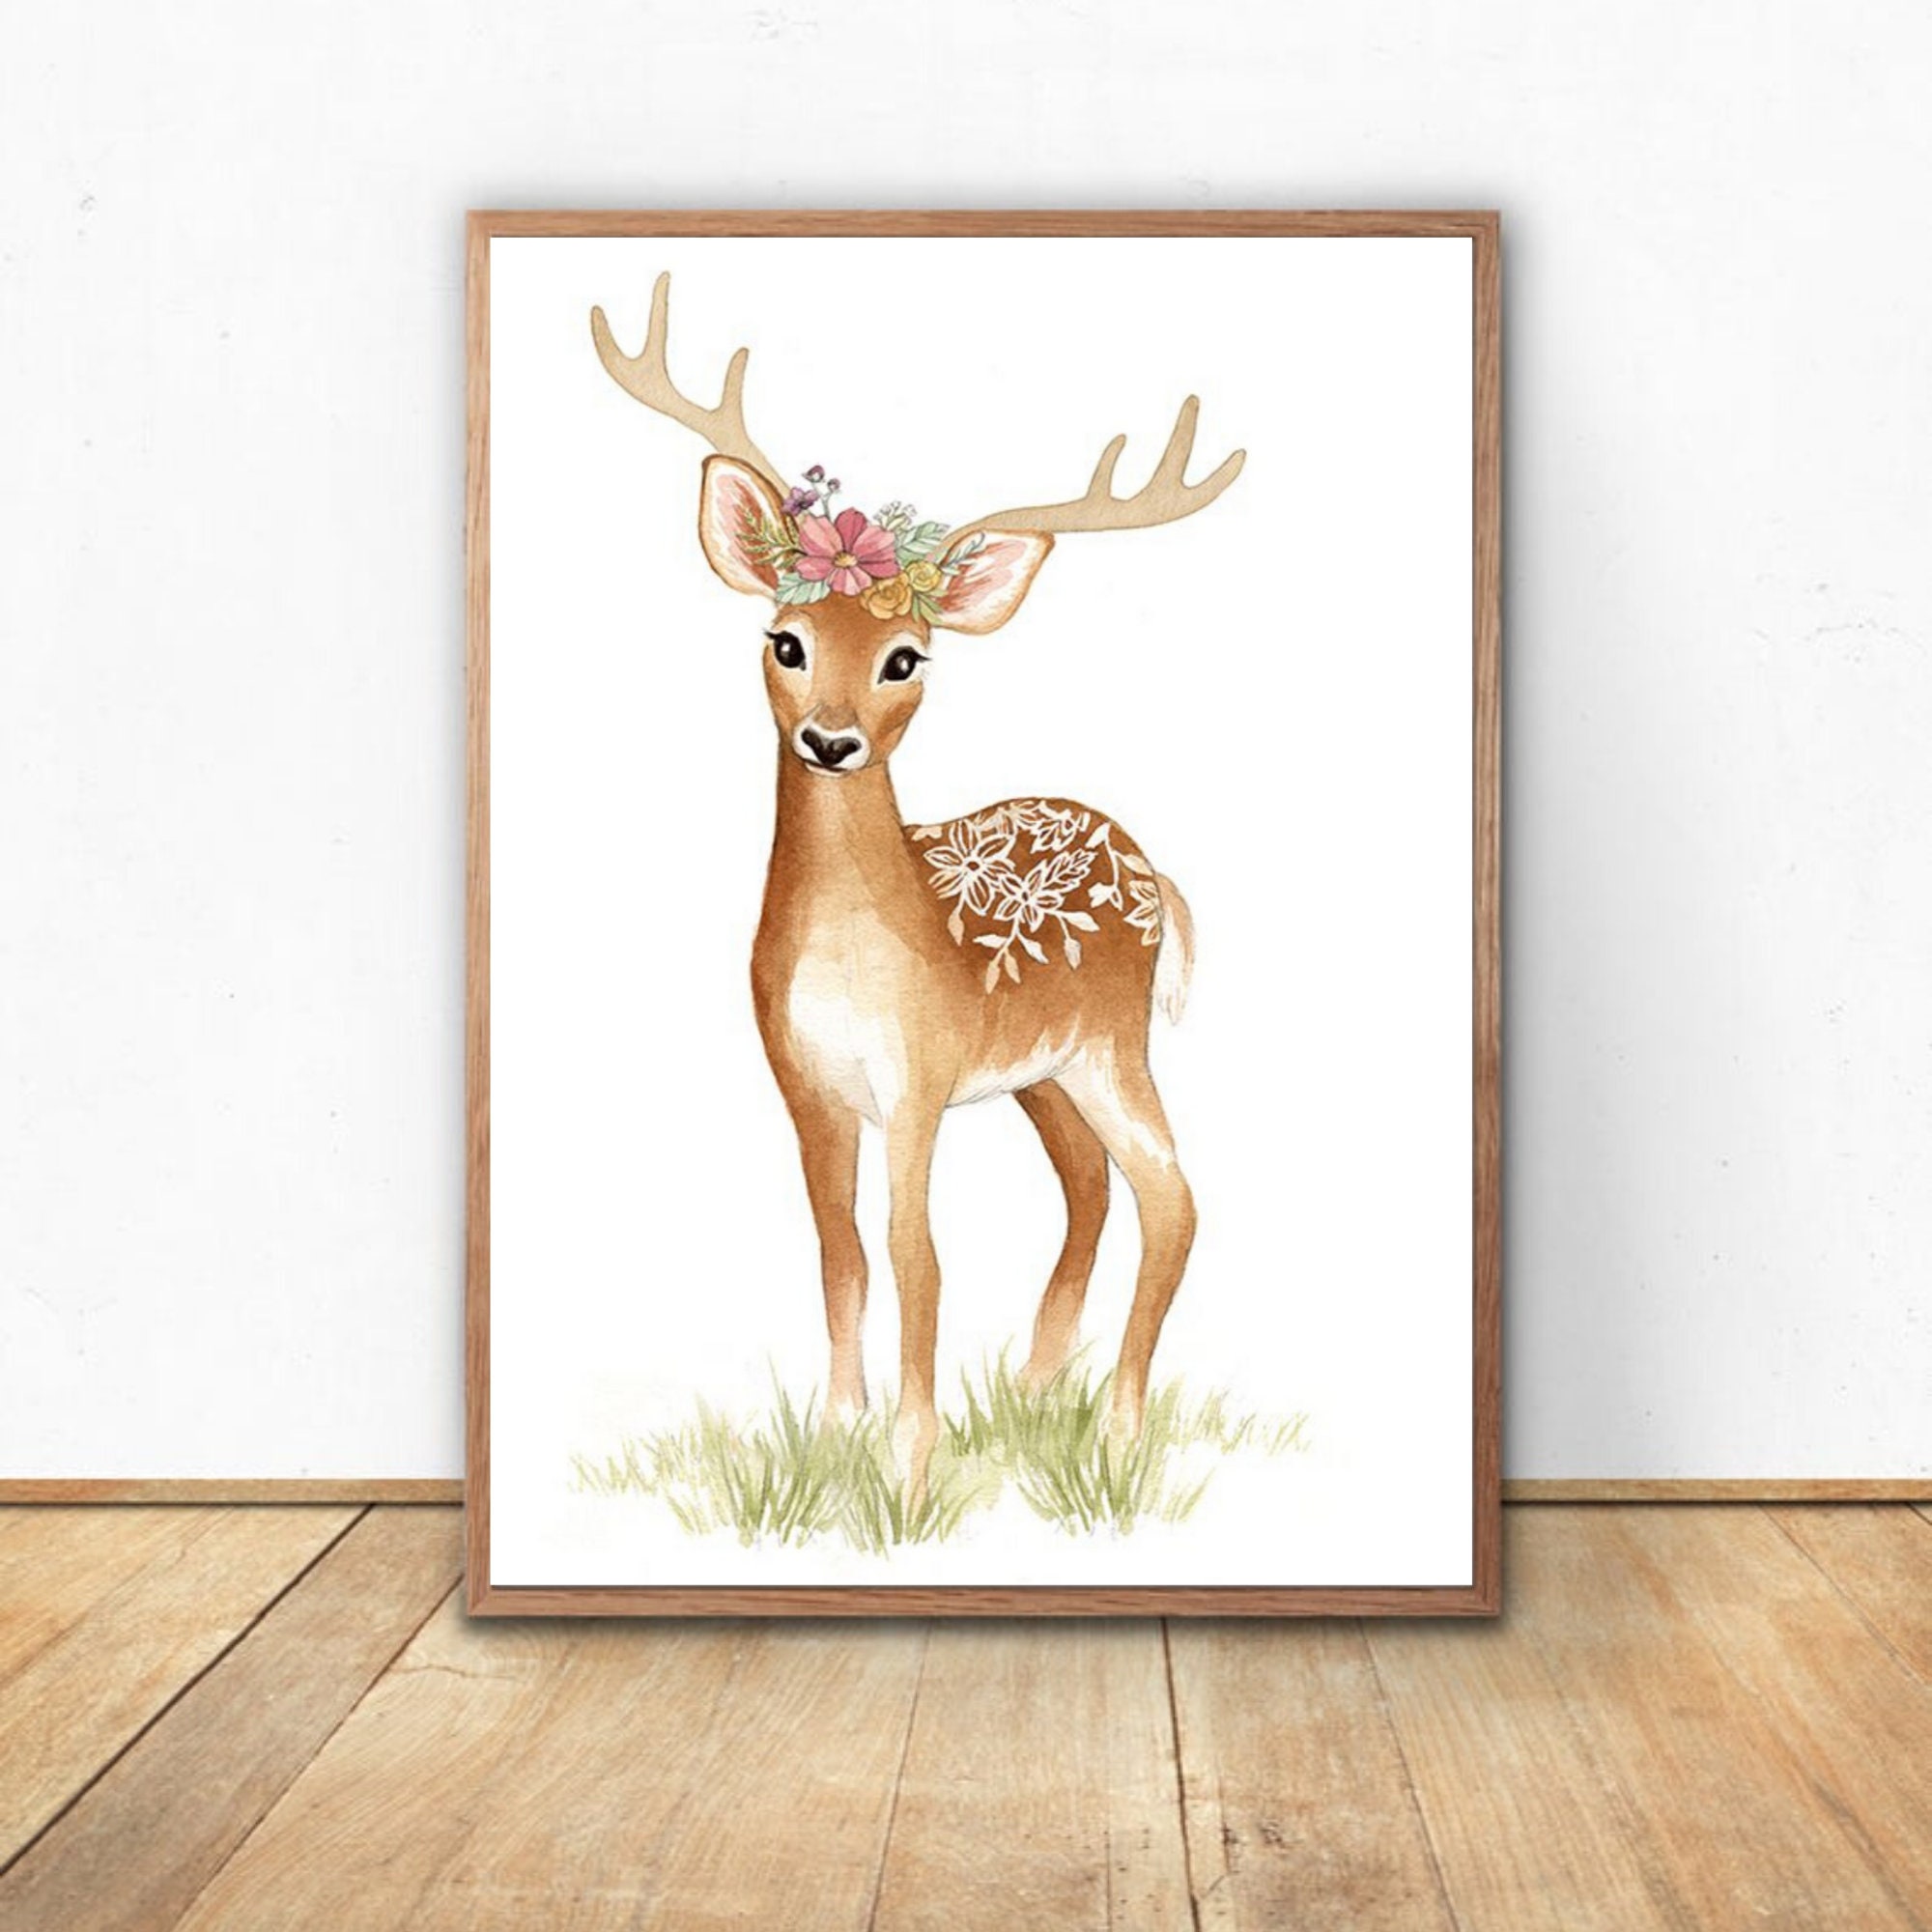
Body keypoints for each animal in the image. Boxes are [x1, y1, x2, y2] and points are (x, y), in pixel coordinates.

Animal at [591, 274, 1244, 1495]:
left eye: (906, 657)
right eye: (784, 638)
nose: (830, 738)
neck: (856, 961)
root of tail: (1151, 867)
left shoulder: (917, 1078)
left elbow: (916, 1254)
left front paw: (908, 1462)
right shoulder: (805, 1084)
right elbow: (839, 1248)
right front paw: (839, 1427)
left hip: (1111, 1038)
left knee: (1171, 1196)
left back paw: (1118, 1428)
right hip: (1043, 1069)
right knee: (1090, 1186)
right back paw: (1034, 1384)